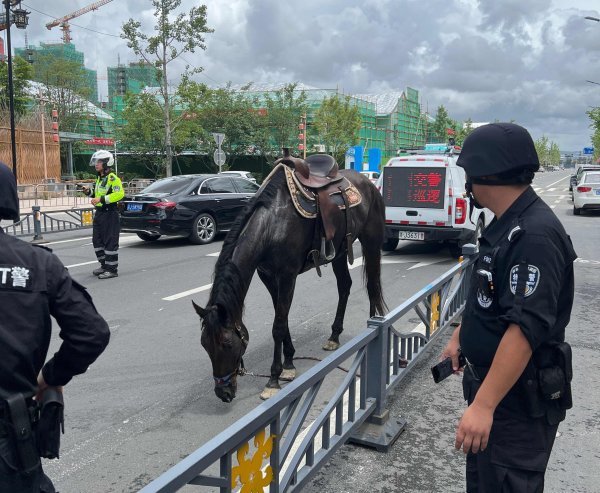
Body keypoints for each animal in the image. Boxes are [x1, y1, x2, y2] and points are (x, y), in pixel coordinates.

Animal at [195, 156, 386, 402]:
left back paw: (373, 325)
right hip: (339, 251)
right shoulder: (267, 275)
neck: (272, 223)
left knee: (372, 282)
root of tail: (367, 182)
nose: (223, 392)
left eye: (227, 343)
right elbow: (282, 318)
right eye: (204, 344)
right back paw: (334, 336)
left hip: (371, 240)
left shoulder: (288, 275)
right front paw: (289, 364)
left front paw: (273, 378)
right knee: (345, 286)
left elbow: (278, 324)